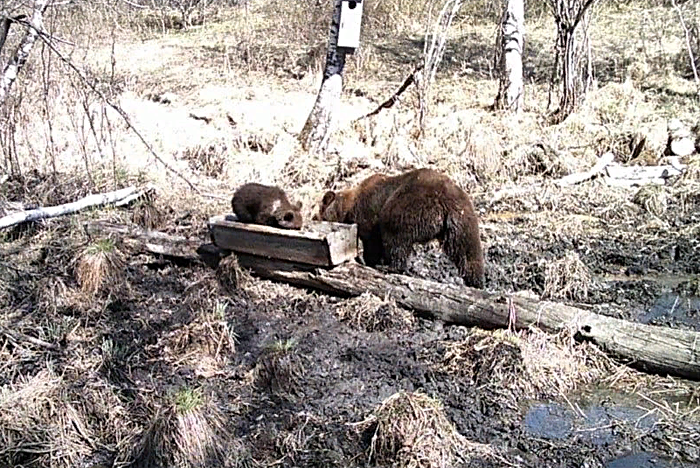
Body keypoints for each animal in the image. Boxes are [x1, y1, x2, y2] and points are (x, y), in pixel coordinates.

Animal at [314, 166, 484, 288]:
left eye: (317, 214)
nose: (315, 217)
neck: (348, 208)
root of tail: (441, 200)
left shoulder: (368, 213)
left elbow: (373, 242)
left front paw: (370, 261)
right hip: (462, 216)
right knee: (466, 248)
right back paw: (476, 280)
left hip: (406, 207)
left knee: (395, 237)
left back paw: (391, 267)